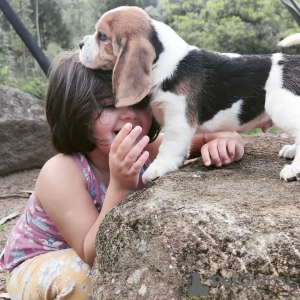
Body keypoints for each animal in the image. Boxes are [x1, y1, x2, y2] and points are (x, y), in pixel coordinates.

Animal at [79, 6, 300, 183]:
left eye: (102, 36)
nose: (80, 43)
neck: (167, 63)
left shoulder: (178, 120)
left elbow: (167, 147)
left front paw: (157, 168)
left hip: (281, 108)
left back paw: (292, 170)